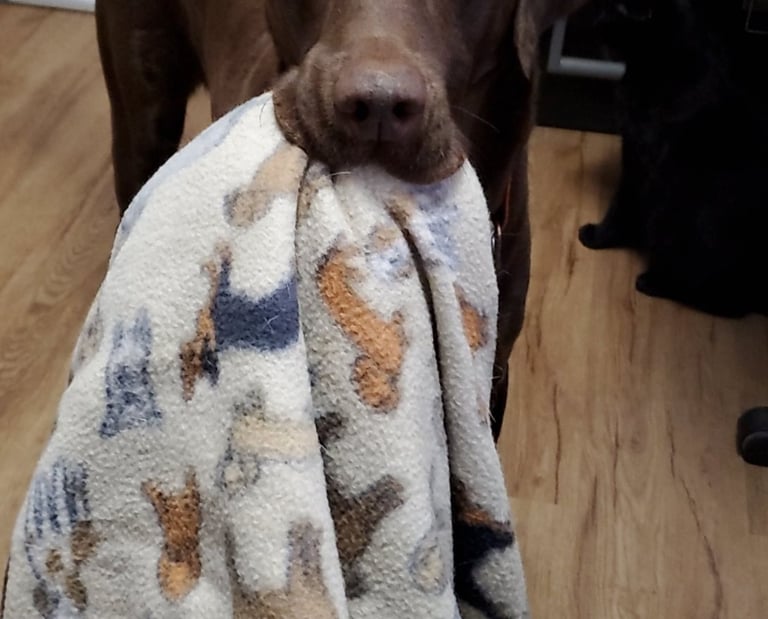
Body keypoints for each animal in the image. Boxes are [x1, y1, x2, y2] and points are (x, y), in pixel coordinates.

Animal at [579, 0, 768, 318]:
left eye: (613, 10)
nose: (591, 20)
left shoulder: (641, 161)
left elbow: (620, 208)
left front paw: (598, 237)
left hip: (681, 219)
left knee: (729, 304)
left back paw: (654, 282)